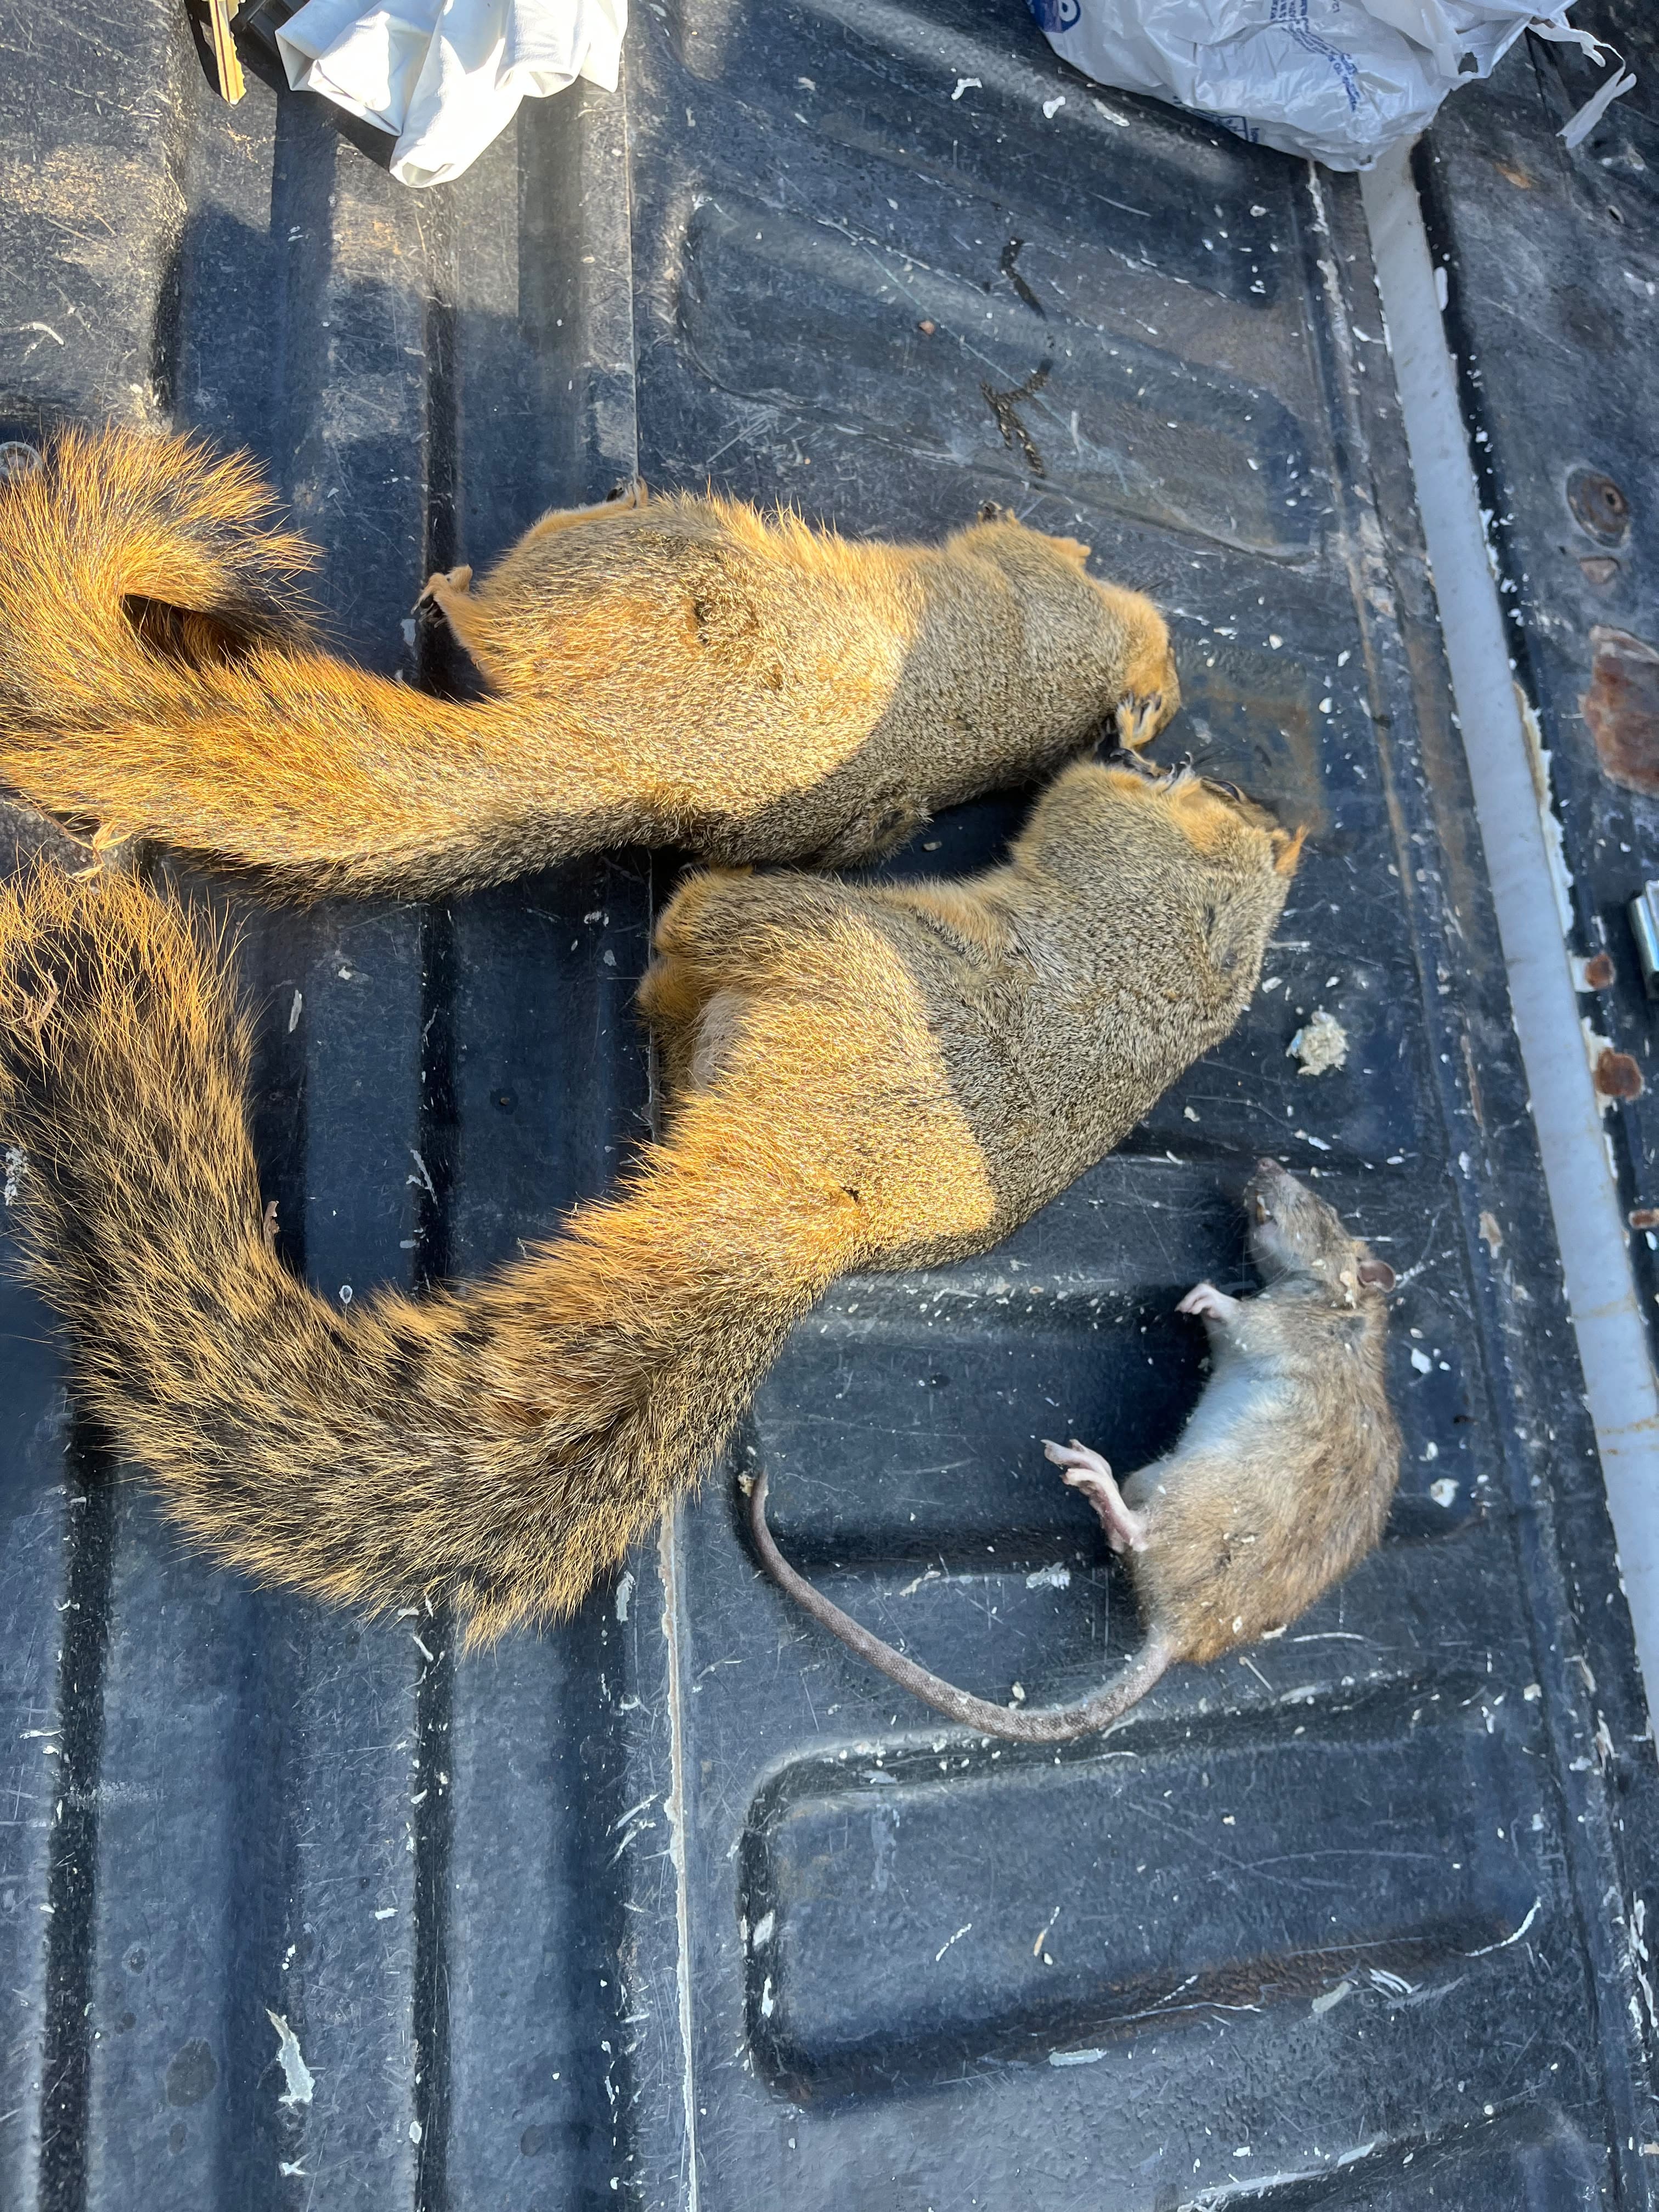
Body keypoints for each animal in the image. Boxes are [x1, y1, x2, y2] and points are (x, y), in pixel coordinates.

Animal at [0, 428, 1179, 896]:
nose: (1164, 624)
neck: (1089, 663)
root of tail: (625, 758)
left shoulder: (1032, 585)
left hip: (599, 576)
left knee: (498, 610)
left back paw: (460, 584)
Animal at [0, 756, 1300, 1643]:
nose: (1230, 785)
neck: (1223, 912)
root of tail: (814, 1194)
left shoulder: (1121, 857)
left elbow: (1084, 806)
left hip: (811, 939)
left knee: (719, 927)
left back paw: (689, 900)